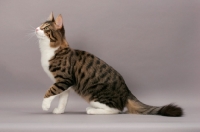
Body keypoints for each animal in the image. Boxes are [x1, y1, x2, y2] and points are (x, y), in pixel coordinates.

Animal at [34, 12, 183, 115]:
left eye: (45, 28)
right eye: (40, 26)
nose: (36, 29)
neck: (49, 50)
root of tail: (126, 90)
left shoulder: (64, 79)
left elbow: (50, 91)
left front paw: (45, 105)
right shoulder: (66, 84)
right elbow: (62, 100)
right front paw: (59, 111)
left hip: (94, 94)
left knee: (117, 109)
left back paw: (92, 110)